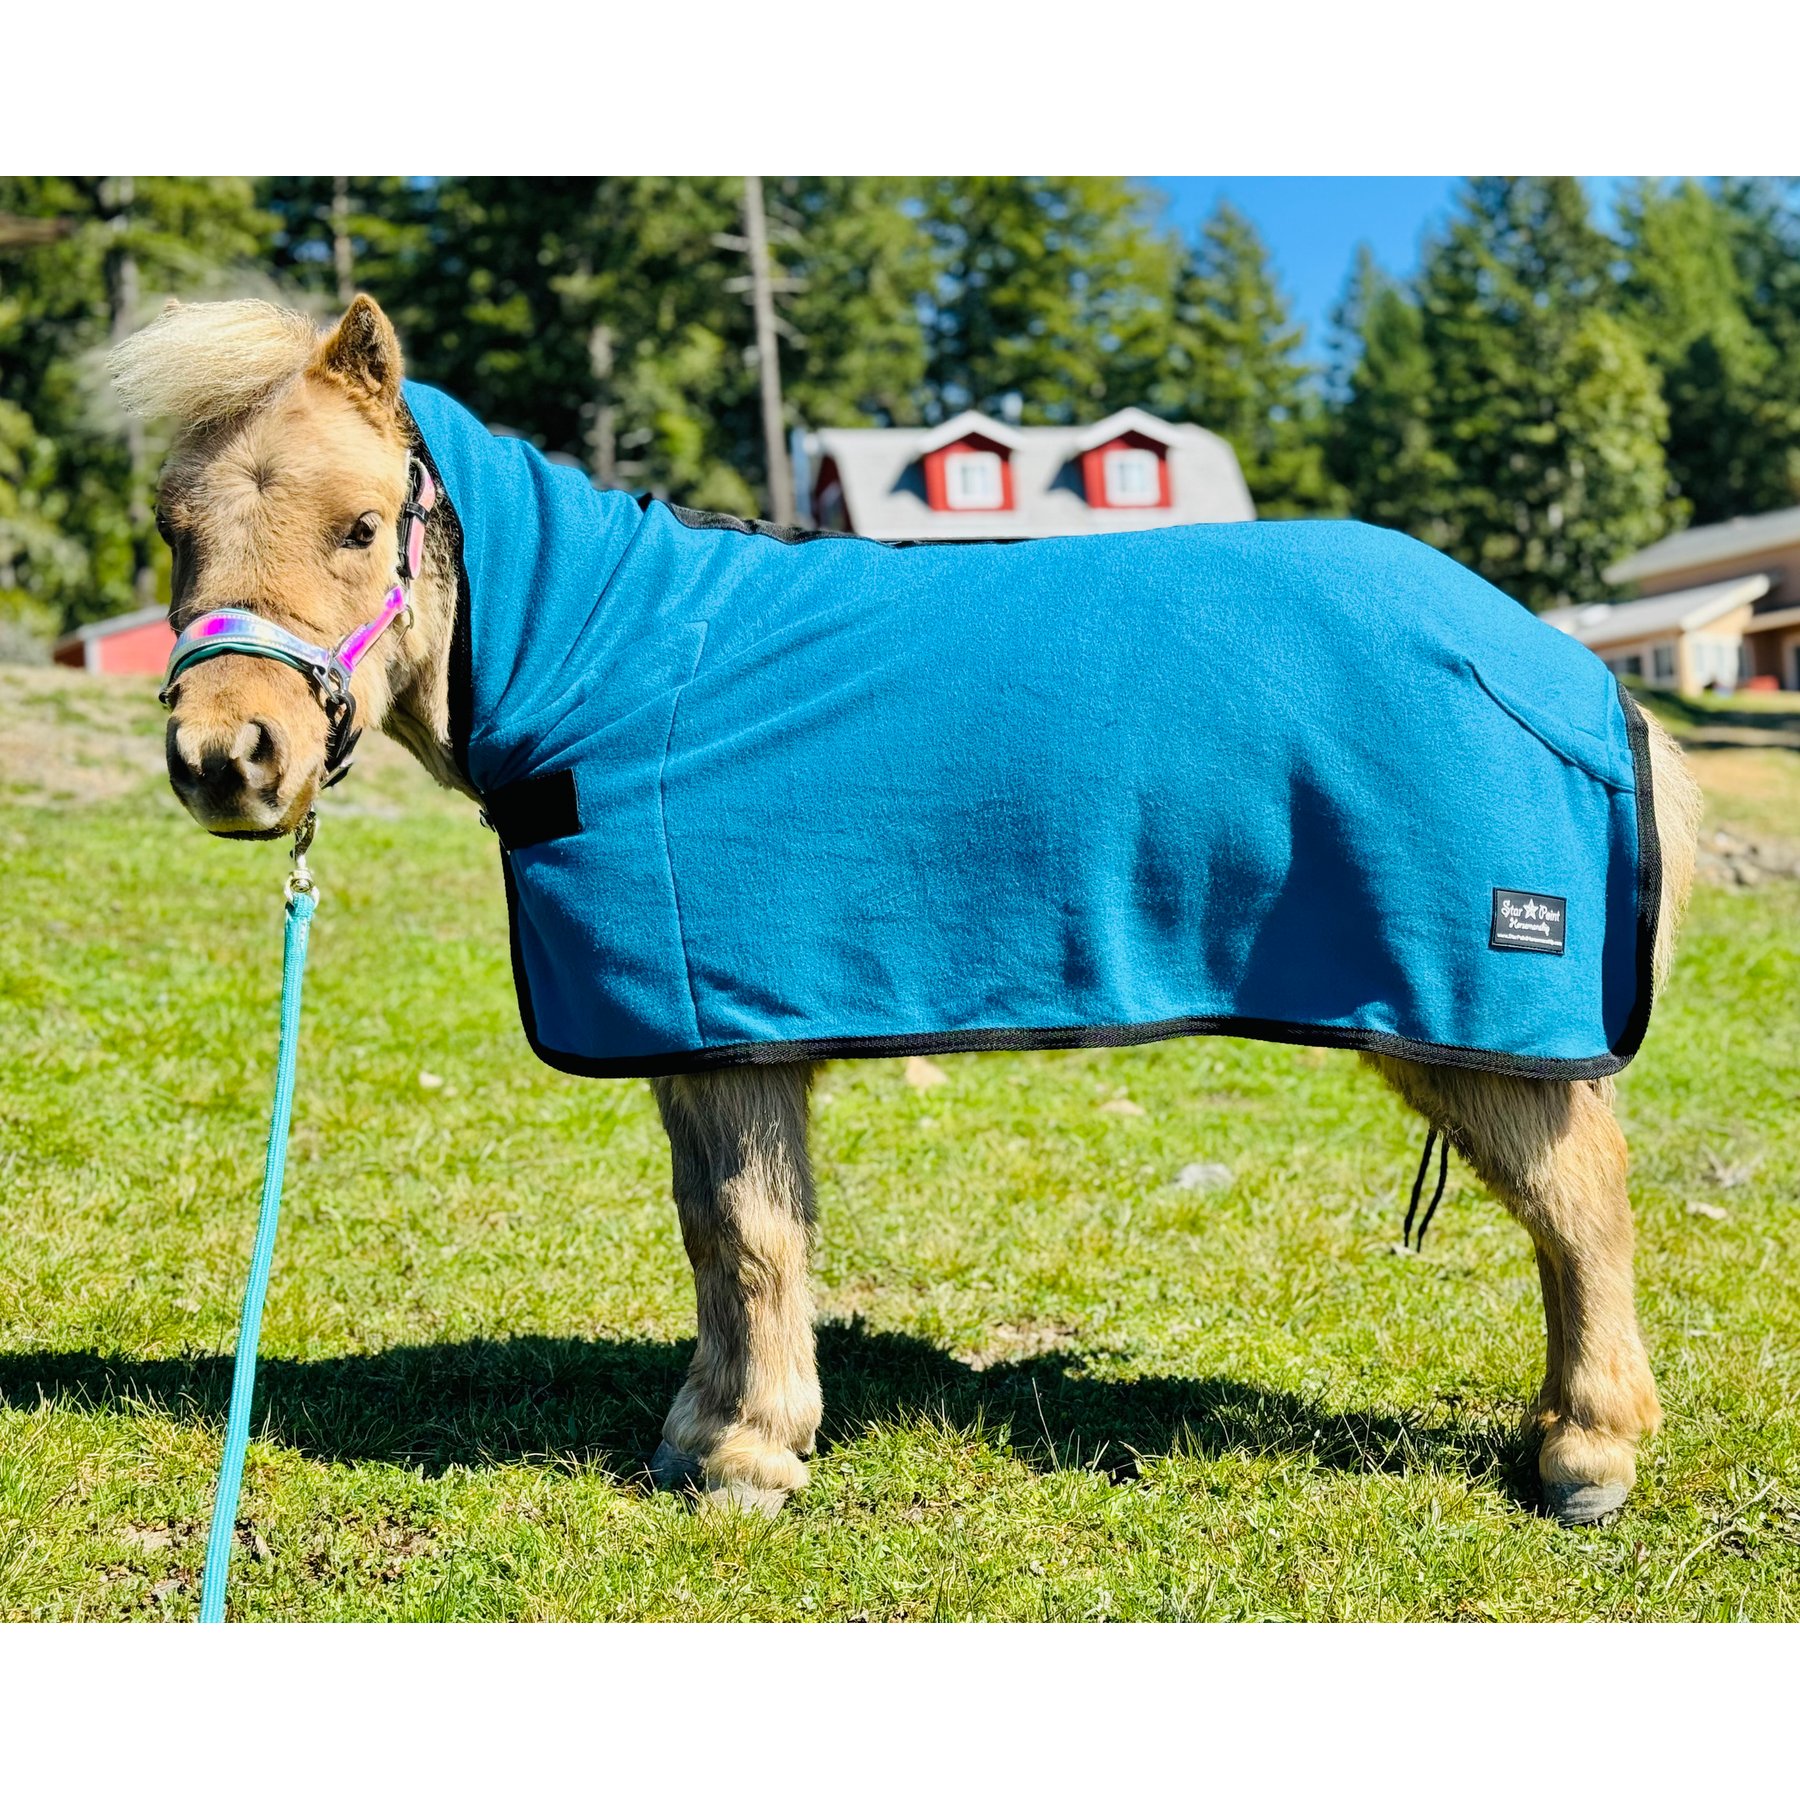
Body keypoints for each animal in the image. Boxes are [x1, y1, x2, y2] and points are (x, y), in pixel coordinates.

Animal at [112, 294, 1703, 1526]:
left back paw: (1587, 1455)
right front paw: (706, 1430)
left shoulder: (734, 1040)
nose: (226, 756)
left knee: (1581, 1206)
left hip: (1472, 1017)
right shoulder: (697, 1040)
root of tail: (1560, 666)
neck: (617, 666)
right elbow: (712, 1234)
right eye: (174, 530)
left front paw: (751, 1459)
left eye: (358, 526)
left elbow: (754, 1235)